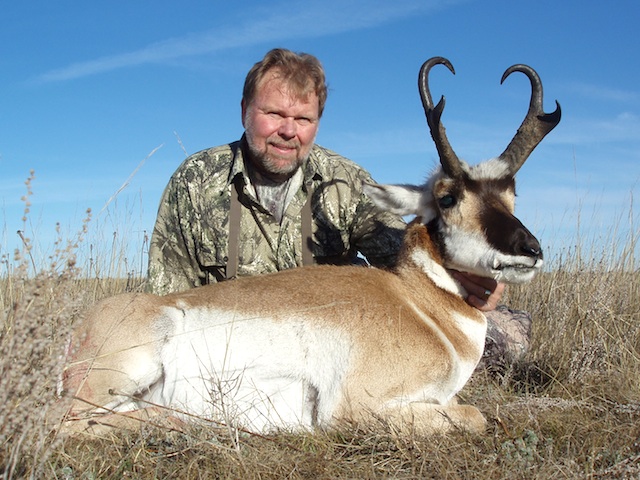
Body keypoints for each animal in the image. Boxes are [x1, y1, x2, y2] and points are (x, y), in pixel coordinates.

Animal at [61, 57, 560, 436]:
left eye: (512, 195)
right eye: (448, 197)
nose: (530, 249)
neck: (421, 305)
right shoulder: (356, 406)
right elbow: (474, 415)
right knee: (69, 420)